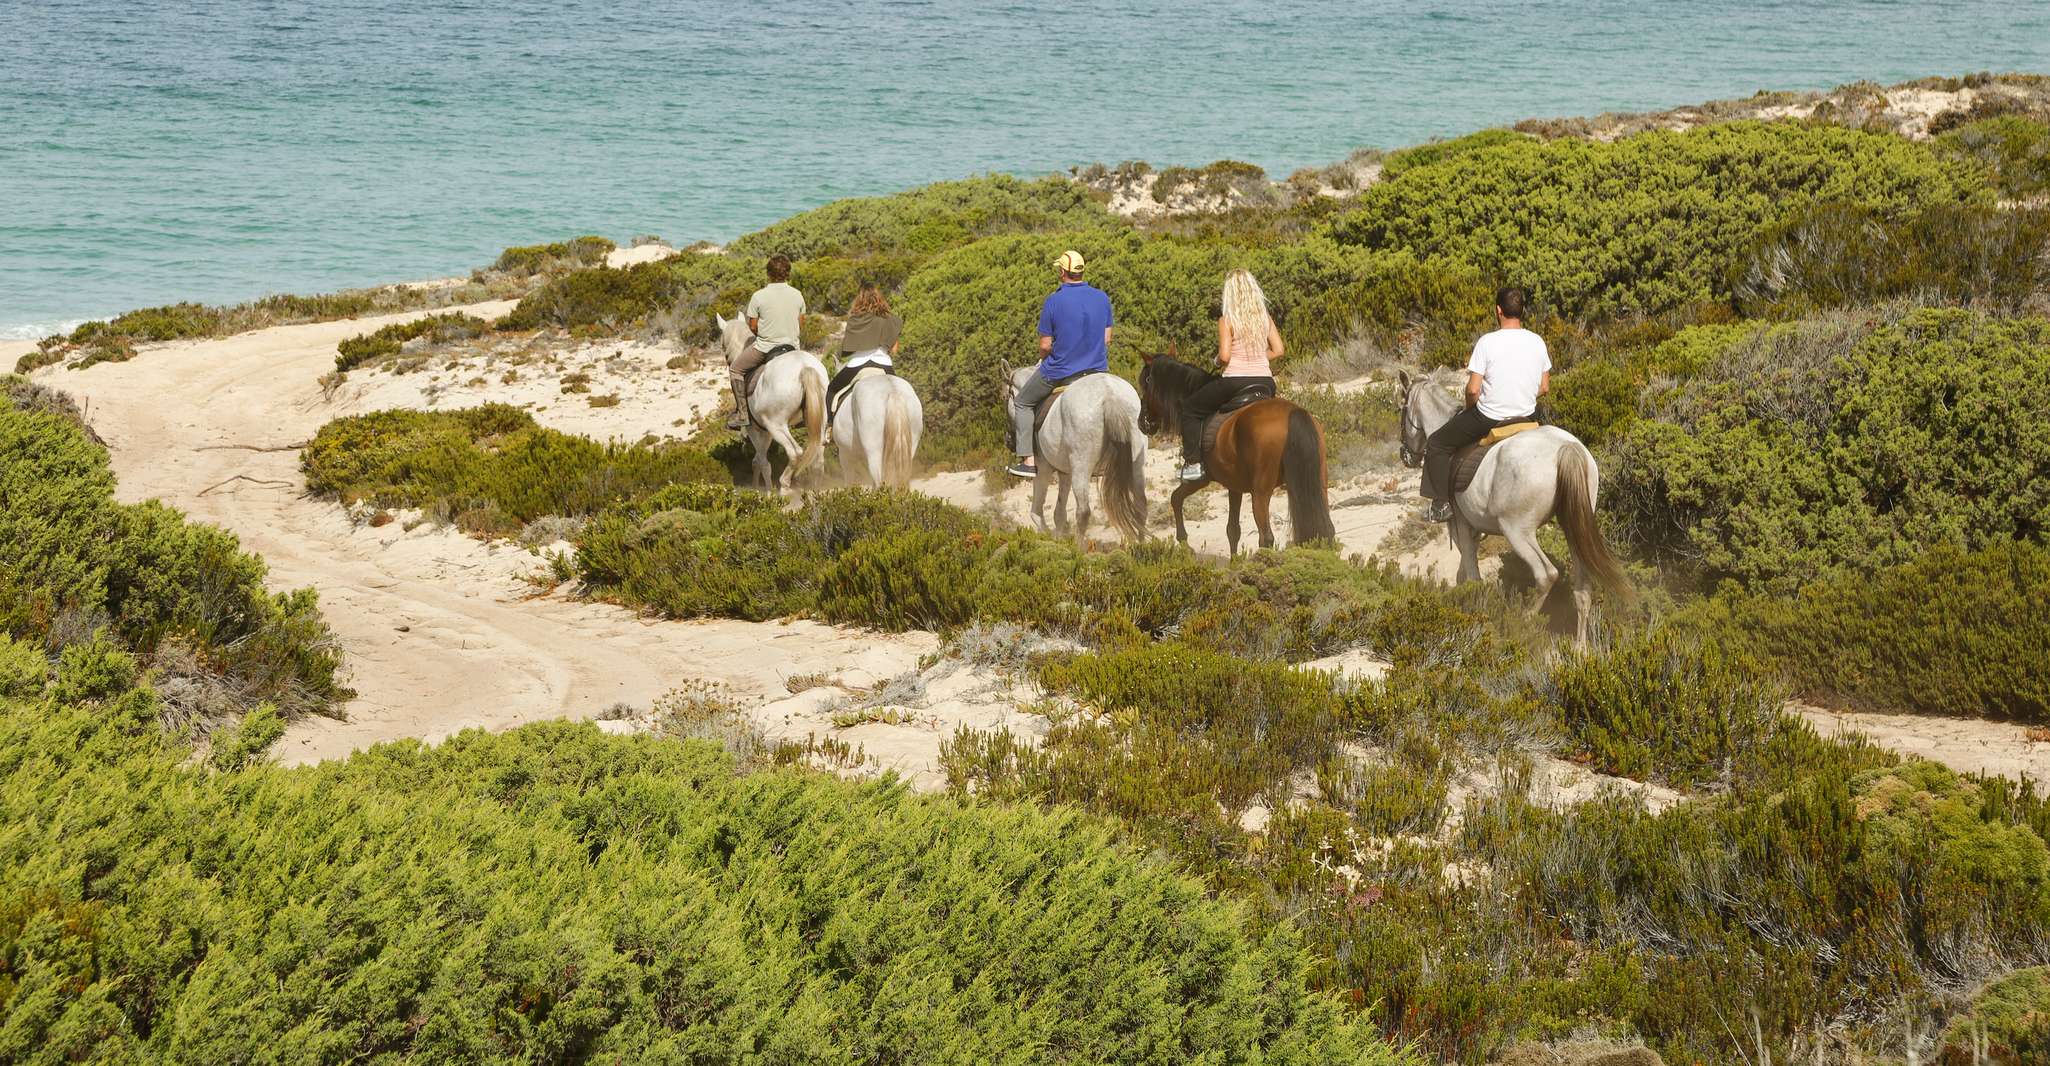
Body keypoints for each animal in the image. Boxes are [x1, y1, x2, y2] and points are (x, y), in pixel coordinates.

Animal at [714, 313, 827, 494]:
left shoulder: (755, 429)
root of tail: (804, 367)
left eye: (722, 344)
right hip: (818, 422)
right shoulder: (765, 432)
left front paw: (767, 492)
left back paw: (785, 485)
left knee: (795, 452)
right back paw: (815, 490)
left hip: (777, 426)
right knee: (818, 454)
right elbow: (757, 461)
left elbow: (762, 462)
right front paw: (756, 487)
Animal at [1004, 366, 1148, 542]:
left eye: (1007, 395)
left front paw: (1050, 538)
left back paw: (1078, 547)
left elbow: (1036, 513)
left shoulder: (1043, 469)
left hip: (1081, 466)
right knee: (1141, 504)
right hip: (1136, 462)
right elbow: (1059, 513)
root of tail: (1110, 394)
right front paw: (1059, 540)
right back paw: (1140, 545)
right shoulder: (1065, 473)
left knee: (1083, 511)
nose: (1008, 440)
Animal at [1136, 354, 1335, 554]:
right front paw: (1234, 560)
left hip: (1260, 493)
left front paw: (1184, 542)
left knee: (1266, 538)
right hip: (1319, 484)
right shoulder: (1234, 486)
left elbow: (1175, 499)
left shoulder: (1201, 480)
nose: (1142, 422)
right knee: (1328, 529)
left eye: (1145, 384)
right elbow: (1233, 530)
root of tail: (1293, 412)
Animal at [1395, 368, 1630, 644]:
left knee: (1546, 575)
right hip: (1574, 526)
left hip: (1517, 531)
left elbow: (1471, 576)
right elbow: (1464, 573)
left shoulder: (1460, 524)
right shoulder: (1473, 531)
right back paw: (1579, 647)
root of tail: (1566, 448)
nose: (1405, 456)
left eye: (1402, 409)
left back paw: (1524, 622)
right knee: (1583, 587)